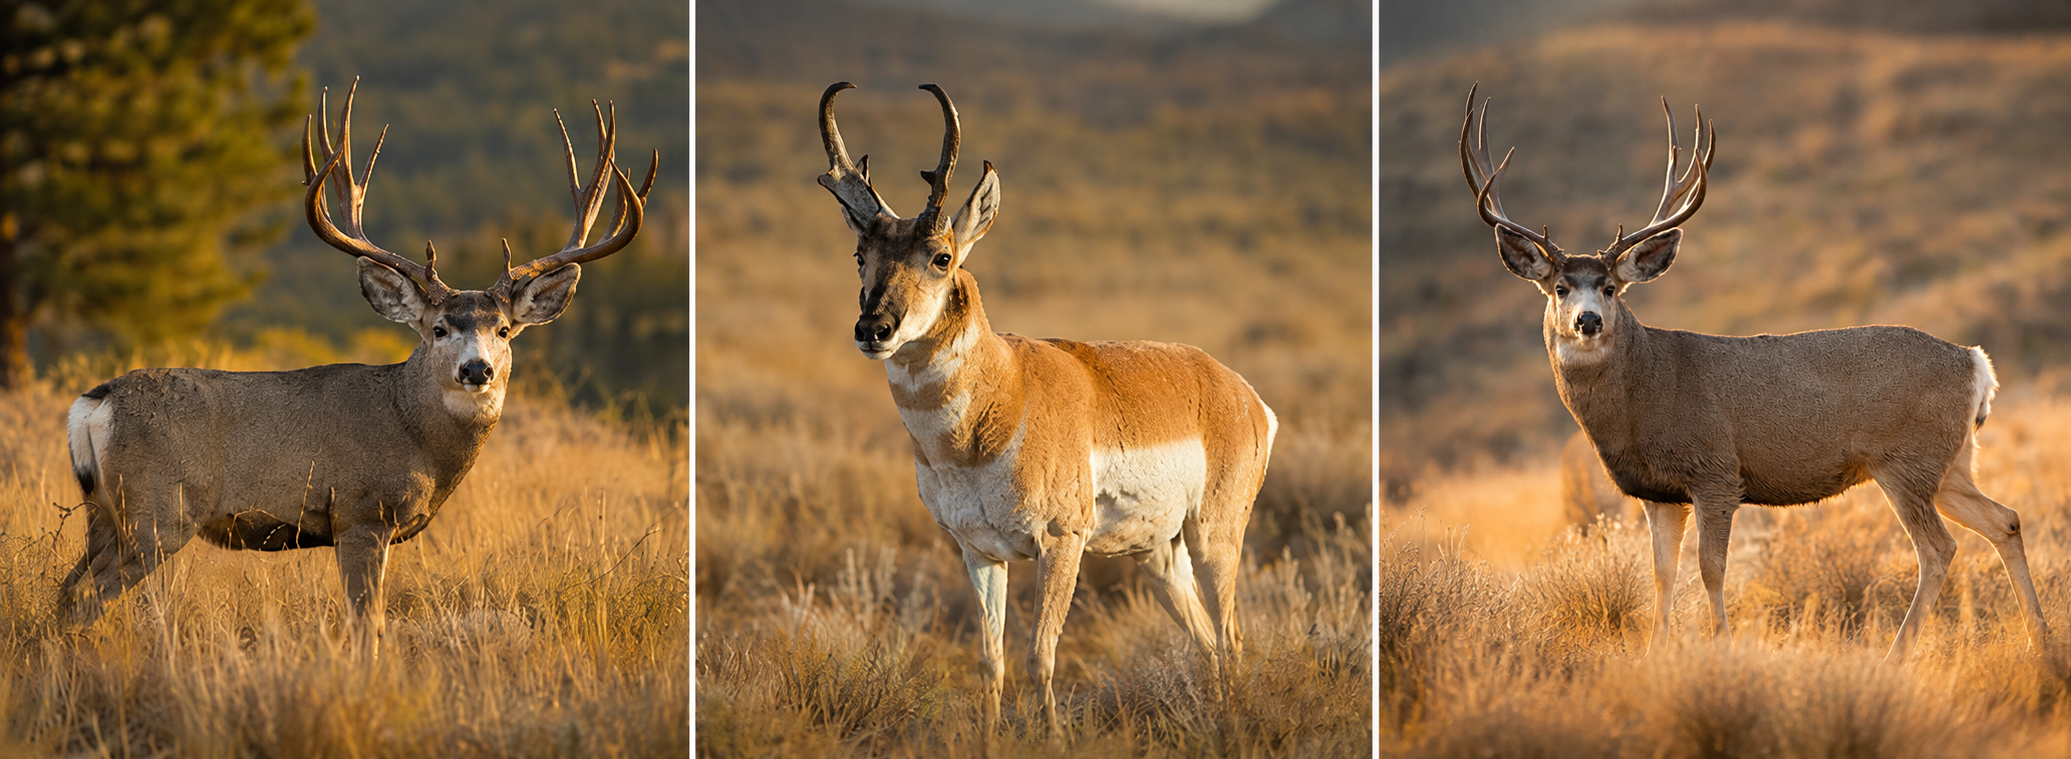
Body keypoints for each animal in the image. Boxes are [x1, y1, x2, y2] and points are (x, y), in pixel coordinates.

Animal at [56, 80, 654, 650]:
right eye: (438, 329)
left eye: (503, 330)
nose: (476, 370)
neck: (414, 435)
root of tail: (96, 401)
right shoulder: (362, 513)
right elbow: (368, 623)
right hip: (158, 513)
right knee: (87, 598)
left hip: (103, 512)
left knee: (65, 590)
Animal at [816, 81, 1278, 737]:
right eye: (860, 254)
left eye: (941, 256)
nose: (873, 329)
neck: (1002, 399)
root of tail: (1236, 389)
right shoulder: (979, 552)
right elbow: (991, 662)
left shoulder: (1060, 544)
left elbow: (1041, 655)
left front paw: (1054, 737)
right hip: (1157, 554)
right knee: (1208, 642)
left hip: (1214, 536)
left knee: (1232, 637)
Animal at [1460, 86, 2049, 661]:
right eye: (1560, 287)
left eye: (1609, 287)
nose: (1588, 320)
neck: (1643, 395)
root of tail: (1975, 362)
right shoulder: (1658, 492)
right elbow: (1661, 573)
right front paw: (1654, 657)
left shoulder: (1717, 470)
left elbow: (1711, 569)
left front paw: (1721, 648)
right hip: (1950, 463)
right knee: (2005, 519)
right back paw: (2038, 641)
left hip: (1906, 459)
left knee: (1939, 548)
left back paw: (1897, 656)